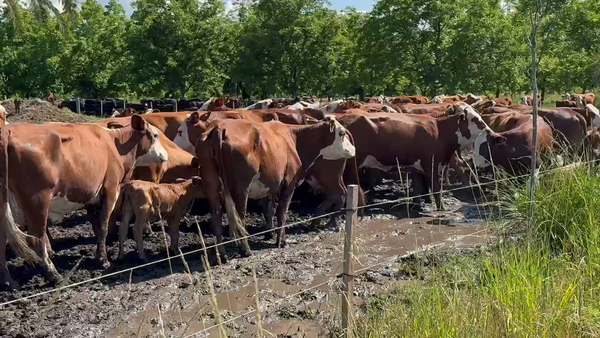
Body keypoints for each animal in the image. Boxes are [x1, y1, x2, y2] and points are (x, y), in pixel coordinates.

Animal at [0, 115, 169, 288]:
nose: (165, 155)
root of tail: (7, 131)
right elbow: (103, 226)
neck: (115, 144)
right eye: (155, 135)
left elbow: (96, 227)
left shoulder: (91, 197)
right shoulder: (110, 189)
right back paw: (54, 275)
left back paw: (8, 281)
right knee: (36, 239)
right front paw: (103, 261)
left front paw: (99, 255)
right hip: (37, 201)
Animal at [190, 115, 354, 256]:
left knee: (216, 215)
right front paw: (281, 241)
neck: (293, 138)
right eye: (342, 133)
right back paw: (245, 250)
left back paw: (222, 253)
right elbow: (282, 212)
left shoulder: (273, 186)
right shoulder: (289, 184)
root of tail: (218, 127)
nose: (354, 149)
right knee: (240, 216)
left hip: (211, 183)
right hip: (240, 187)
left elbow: (270, 210)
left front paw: (270, 234)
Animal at [338, 101, 496, 210]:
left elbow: (418, 188)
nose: (491, 132)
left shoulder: (417, 166)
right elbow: (436, 189)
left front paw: (417, 205)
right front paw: (441, 208)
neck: (439, 130)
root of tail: (343, 119)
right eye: (475, 119)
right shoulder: (431, 164)